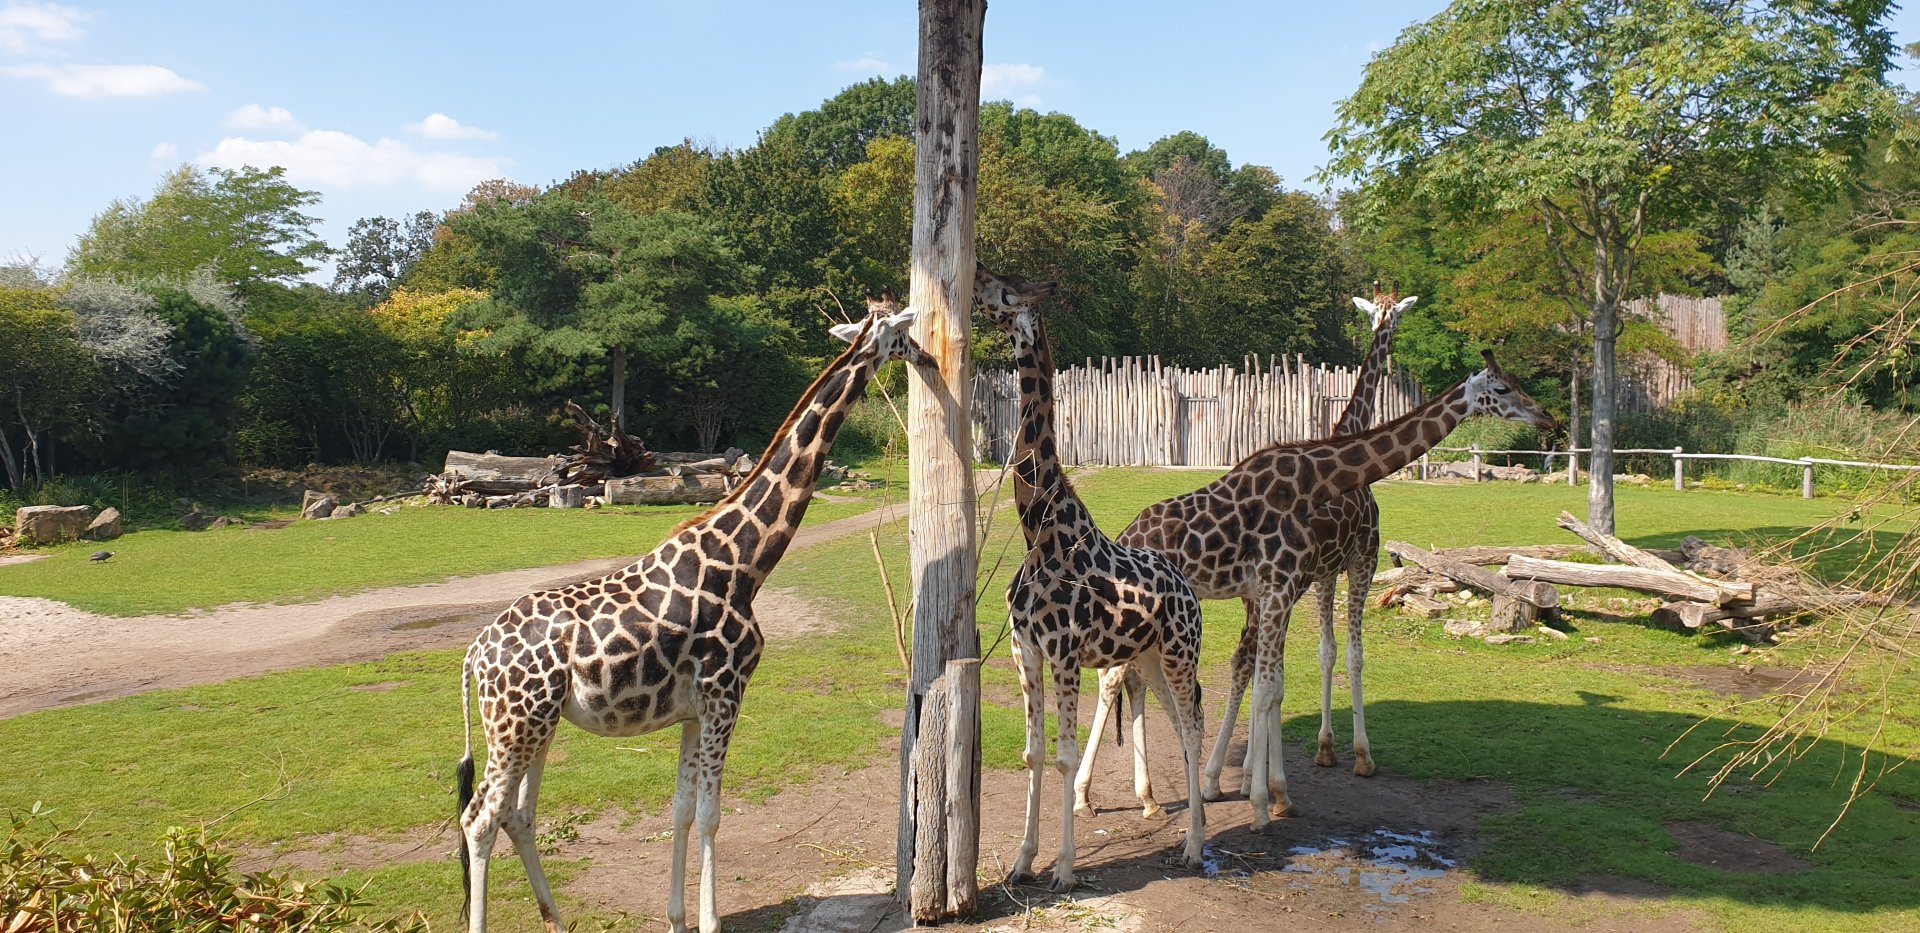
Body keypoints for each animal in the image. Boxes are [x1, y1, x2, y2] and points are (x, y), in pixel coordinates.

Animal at [453, 299, 934, 933]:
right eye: (902, 332)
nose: (929, 357)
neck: (745, 562)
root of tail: (473, 656)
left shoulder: (690, 708)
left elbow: (681, 810)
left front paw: (677, 916)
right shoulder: (724, 694)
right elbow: (710, 814)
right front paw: (708, 920)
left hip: (538, 723)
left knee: (518, 814)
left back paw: (555, 917)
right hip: (515, 723)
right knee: (480, 818)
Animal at [975, 263, 1210, 893]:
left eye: (1005, 290)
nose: (973, 275)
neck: (1039, 531)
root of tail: (1189, 592)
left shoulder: (1063, 653)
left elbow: (1061, 756)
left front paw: (1063, 869)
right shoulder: (1025, 651)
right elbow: (1033, 755)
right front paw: (1023, 860)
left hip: (1179, 652)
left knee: (1193, 727)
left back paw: (1194, 849)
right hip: (1149, 657)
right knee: (1179, 720)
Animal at [1115, 350, 1555, 831]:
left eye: (1519, 383)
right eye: (1503, 389)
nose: (1547, 417)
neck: (1316, 480)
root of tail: (1124, 533)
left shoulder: (1280, 590)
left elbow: (1273, 683)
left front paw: (1265, 788)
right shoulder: (1292, 582)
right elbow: (1274, 685)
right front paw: (1266, 802)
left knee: (1131, 682)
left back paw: (1147, 797)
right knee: (1118, 681)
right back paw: (1128, 800)